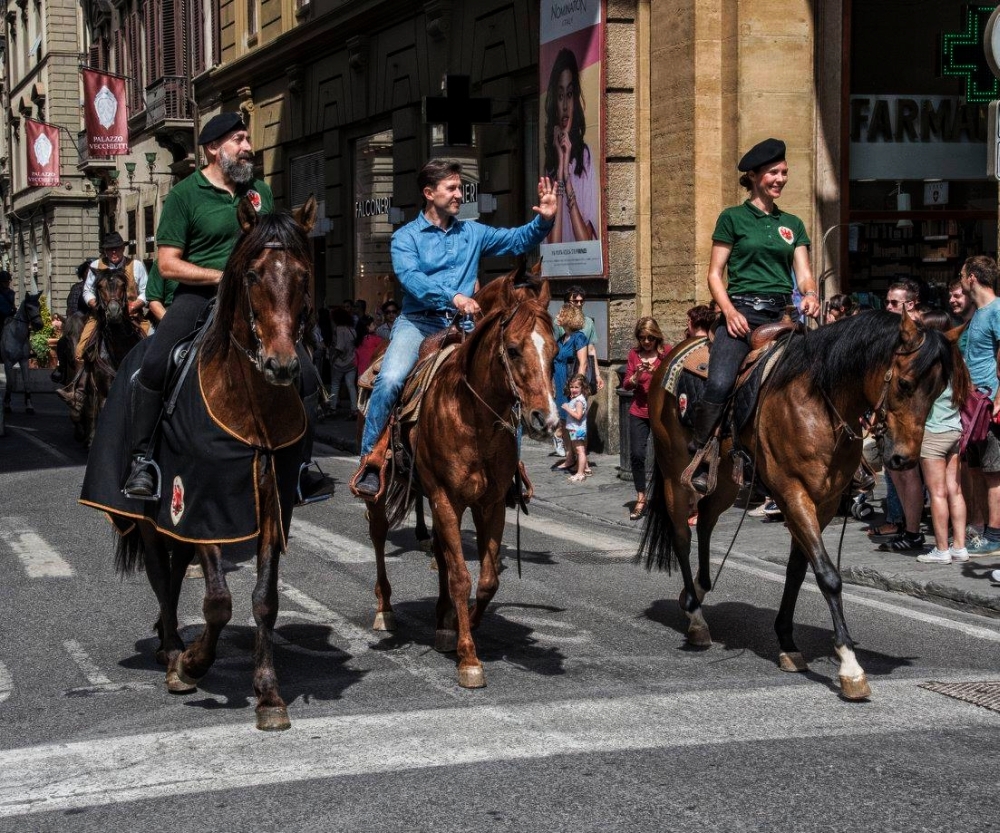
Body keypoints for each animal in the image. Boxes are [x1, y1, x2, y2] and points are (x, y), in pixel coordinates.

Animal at [90, 195, 318, 728]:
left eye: (303, 273)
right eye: (253, 275)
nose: (282, 365)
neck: (251, 406)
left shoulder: (270, 506)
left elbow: (264, 601)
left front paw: (268, 693)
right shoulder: (203, 501)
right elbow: (217, 602)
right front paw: (192, 664)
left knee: (174, 575)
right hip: (152, 516)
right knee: (160, 574)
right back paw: (172, 647)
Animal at [366, 266, 564, 688]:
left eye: (556, 352)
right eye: (513, 349)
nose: (547, 419)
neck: (472, 416)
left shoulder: (490, 503)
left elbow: (486, 579)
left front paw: (461, 628)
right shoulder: (445, 497)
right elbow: (461, 576)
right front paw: (468, 657)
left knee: (442, 552)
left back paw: (443, 621)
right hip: (387, 487)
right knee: (378, 535)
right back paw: (385, 609)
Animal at [636, 308, 956, 700]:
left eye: (940, 391)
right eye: (906, 384)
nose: (903, 459)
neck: (819, 404)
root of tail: (671, 353)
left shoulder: (824, 502)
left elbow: (798, 571)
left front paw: (788, 644)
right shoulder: (793, 493)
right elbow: (827, 576)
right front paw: (850, 667)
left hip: (725, 478)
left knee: (708, 519)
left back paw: (695, 591)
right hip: (675, 474)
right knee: (683, 536)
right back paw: (696, 619)